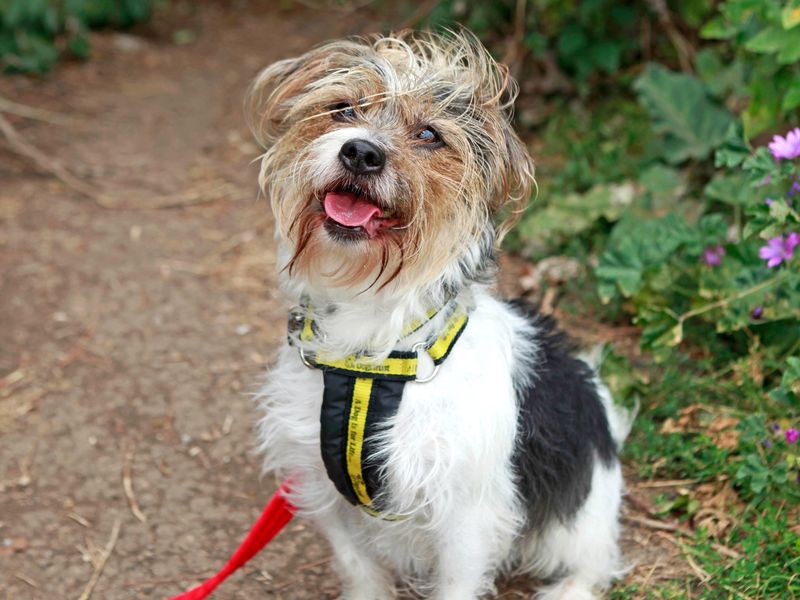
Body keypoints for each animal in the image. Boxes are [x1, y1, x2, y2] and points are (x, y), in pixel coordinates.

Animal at [247, 30, 636, 596]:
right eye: (342, 109)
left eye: (429, 134)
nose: (361, 152)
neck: (371, 355)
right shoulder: (322, 486)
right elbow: (357, 565)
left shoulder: (466, 517)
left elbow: (456, 582)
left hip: (580, 516)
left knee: (593, 562)